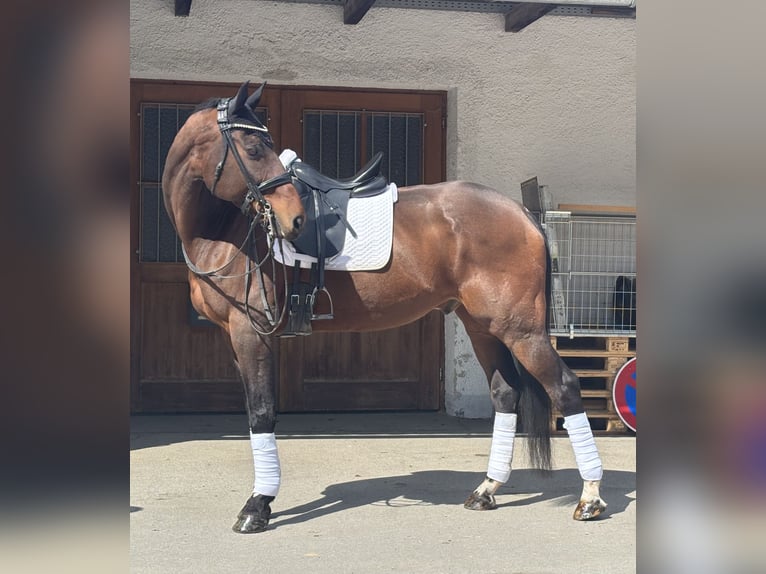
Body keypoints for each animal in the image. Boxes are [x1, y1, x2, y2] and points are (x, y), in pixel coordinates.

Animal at [161, 81, 608, 533]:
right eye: (253, 148)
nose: (295, 221)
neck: (224, 231)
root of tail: (522, 214)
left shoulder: (252, 332)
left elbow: (262, 412)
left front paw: (258, 505)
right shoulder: (235, 336)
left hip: (522, 331)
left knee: (565, 388)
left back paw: (590, 498)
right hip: (483, 326)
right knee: (505, 393)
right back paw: (486, 491)